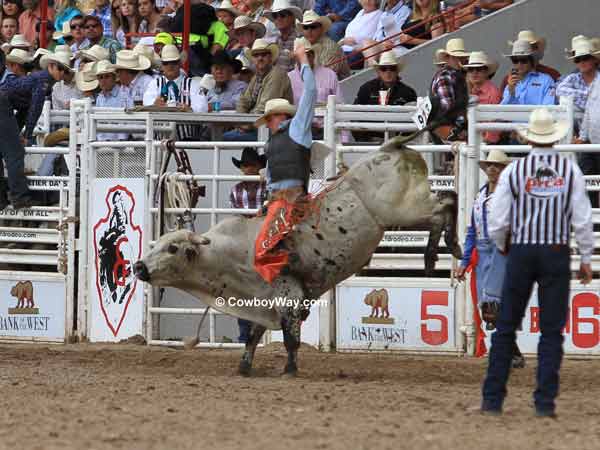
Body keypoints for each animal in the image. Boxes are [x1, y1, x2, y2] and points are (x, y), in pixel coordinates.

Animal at [134, 139, 462, 378]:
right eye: (156, 245)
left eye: (172, 249)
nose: (138, 267)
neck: (232, 256)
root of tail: (388, 147)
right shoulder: (263, 301)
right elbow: (253, 336)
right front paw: (244, 367)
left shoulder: (288, 297)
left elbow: (290, 338)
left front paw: (290, 370)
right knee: (447, 202)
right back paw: (437, 253)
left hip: (405, 210)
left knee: (446, 204)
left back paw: (442, 251)